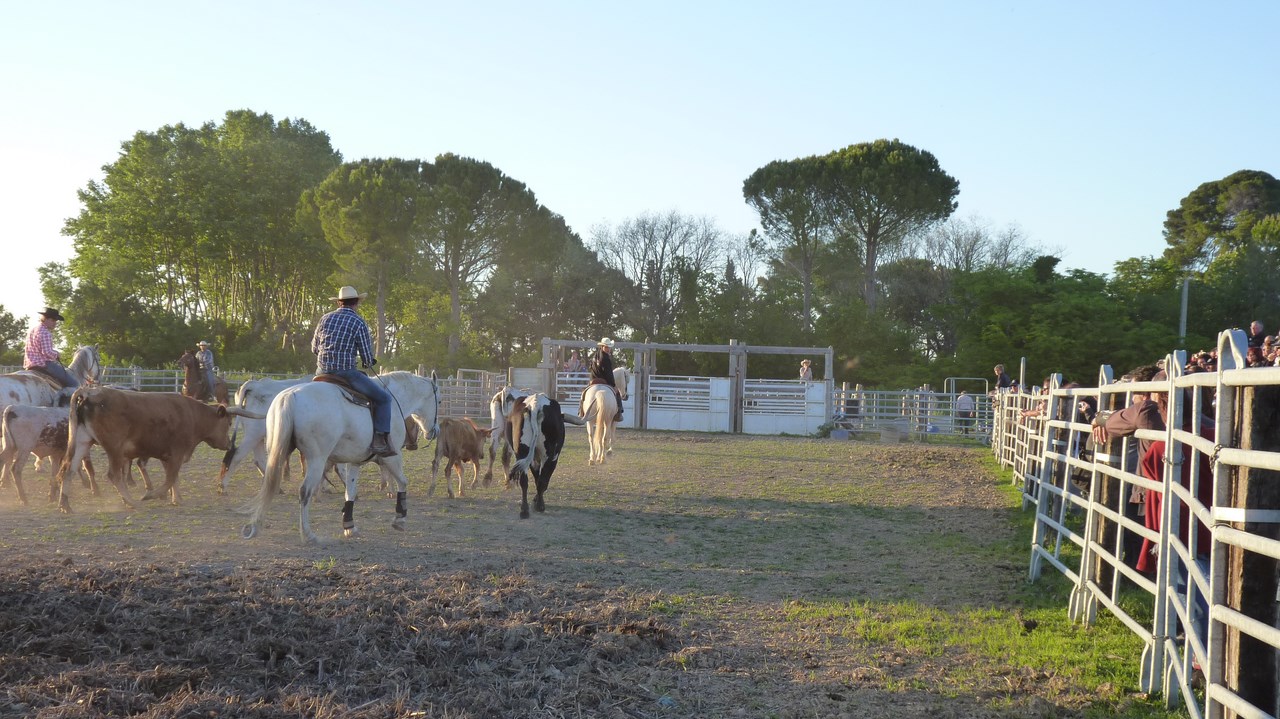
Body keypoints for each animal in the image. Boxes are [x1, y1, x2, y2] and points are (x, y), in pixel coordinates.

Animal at [56, 386, 259, 509]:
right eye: (229, 423)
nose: (229, 444)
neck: (192, 415)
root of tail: (90, 392)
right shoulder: (177, 453)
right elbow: (169, 479)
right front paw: (151, 495)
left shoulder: (167, 456)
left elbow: (174, 478)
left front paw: (177, 498)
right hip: (115, 448)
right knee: (114, 475)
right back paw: (131, 501)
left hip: (83, 441)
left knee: (69, 469)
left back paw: (65, 504)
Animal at [240, 368, 440, 542]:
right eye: (438, 400)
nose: (434, 431)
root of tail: (291, 396)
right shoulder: (392, 457)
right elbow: (403, 482)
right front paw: (400, 519)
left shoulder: (355, 462)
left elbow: (350, 492)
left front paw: (349, 526)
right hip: (317, 460)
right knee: (304, 491)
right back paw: (308, 535)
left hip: (277, 452)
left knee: (269, 483)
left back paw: (255, 526)